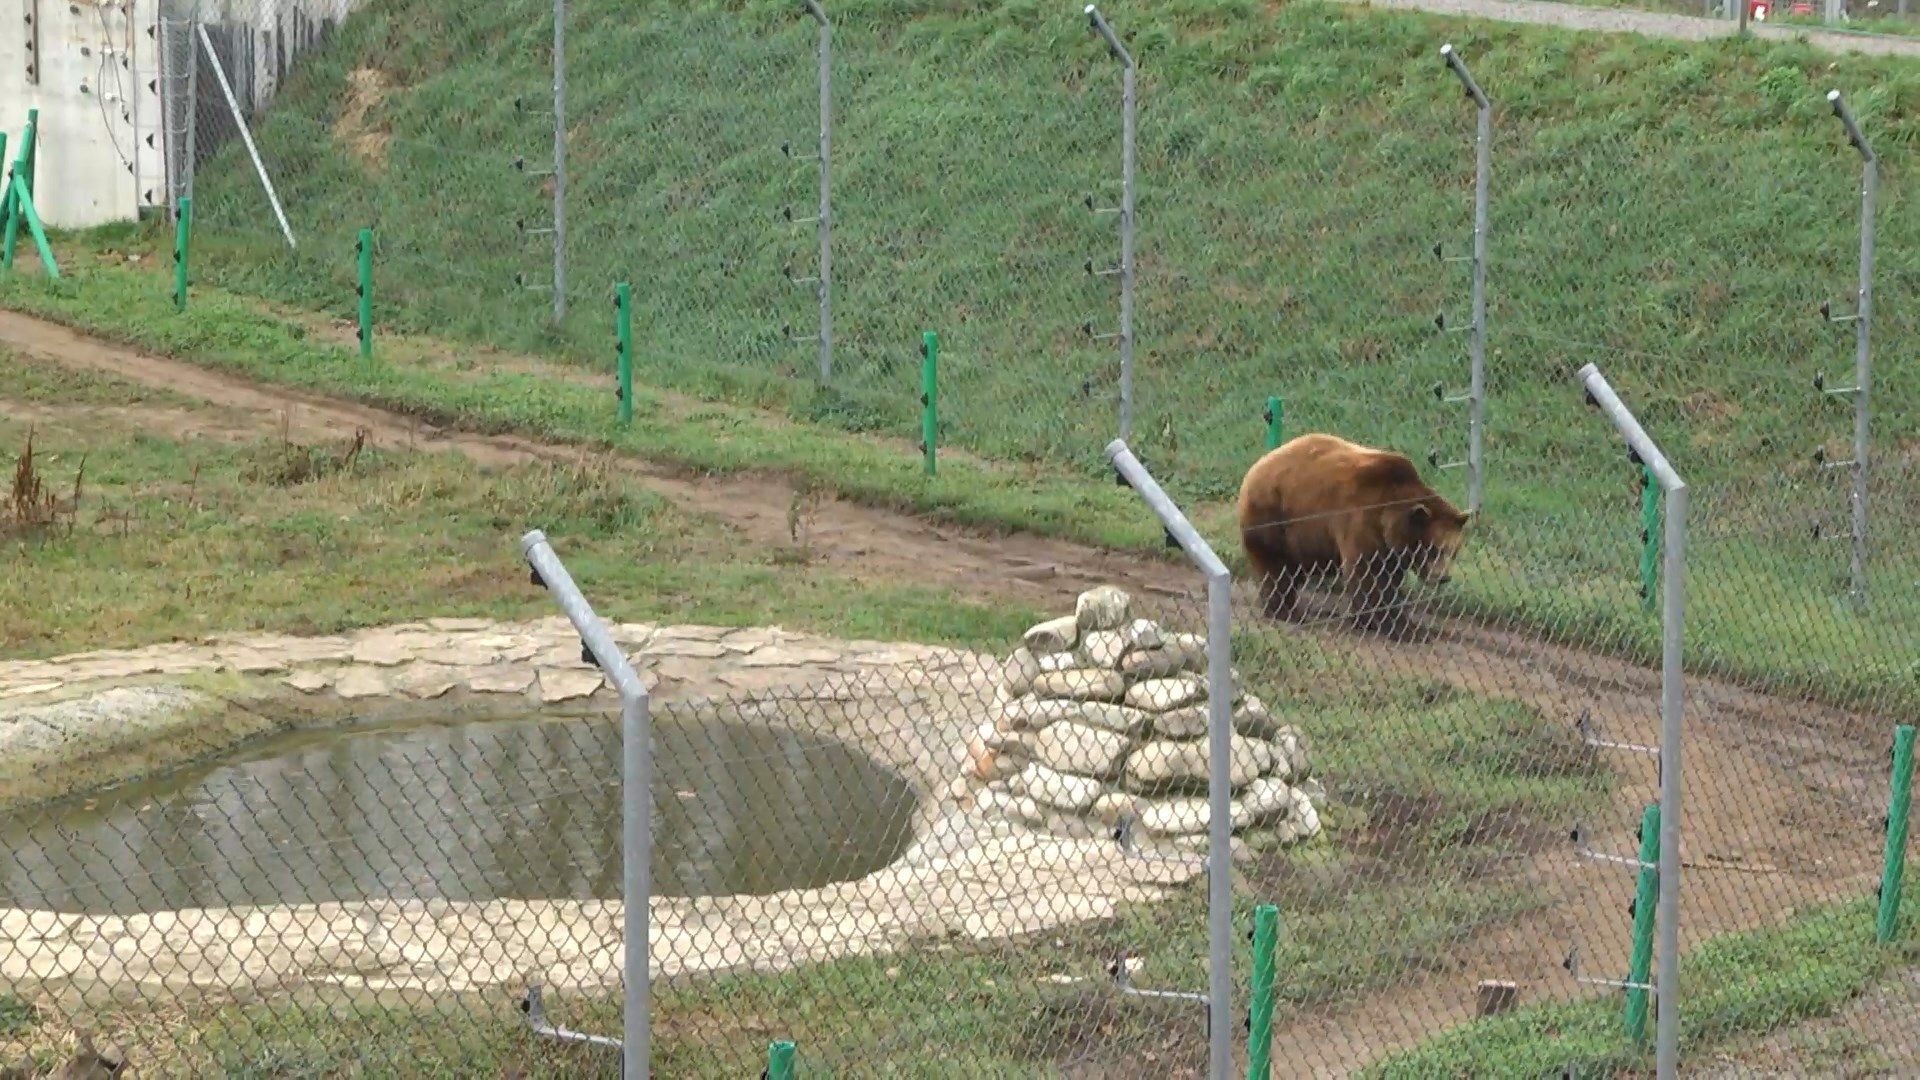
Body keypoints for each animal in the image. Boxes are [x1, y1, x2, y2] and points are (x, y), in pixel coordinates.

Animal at [1236, 430, 1459, 630]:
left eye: (1454, 551)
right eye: (1434, 549)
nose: (1443, 577)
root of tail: (1255, 467)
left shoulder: (1390, 548)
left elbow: (1389, 577)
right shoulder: (1361, 519)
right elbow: (1370, 575)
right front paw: (1396, 626)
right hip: (1274, 515)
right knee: (1276, 567)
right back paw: (1287, 612)